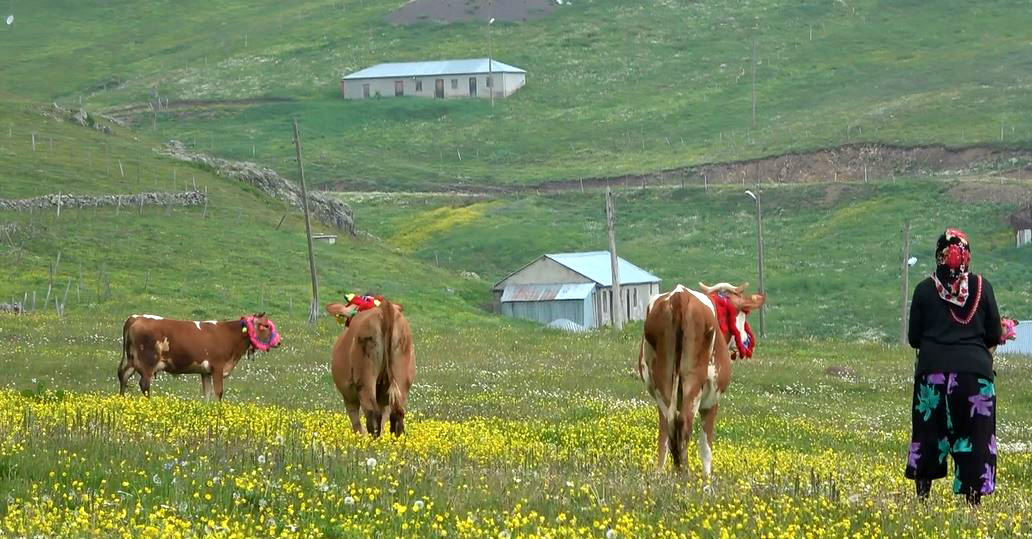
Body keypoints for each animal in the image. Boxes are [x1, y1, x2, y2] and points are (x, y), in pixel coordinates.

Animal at [118, 309, 278, 398]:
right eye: (265, 326)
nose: (279, 342)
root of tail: (136, 317)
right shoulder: (217, 368)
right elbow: (218, 392)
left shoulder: (205, 372)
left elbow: (207, 393)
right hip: (148, 361)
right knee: (144, 384)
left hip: (133, 359)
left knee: (124, 376)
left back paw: (122, 400)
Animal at [326, 297, 414, 435]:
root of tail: (384, 308)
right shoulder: (385, 399)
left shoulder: (348, 396)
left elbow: (356, 424)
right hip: (402, 377)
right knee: (397, 414)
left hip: (365, 376)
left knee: (372, 415)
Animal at [639, 282, 763, 472]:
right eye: (744, 312)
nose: (746, 339)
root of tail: (680, 296)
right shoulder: (711, 399)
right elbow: (706, 446)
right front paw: (707, 478)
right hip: (694, 383)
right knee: (684, 423)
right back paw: (685, 473)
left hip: (662, 381)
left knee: (667, 427)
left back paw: (668, 471)